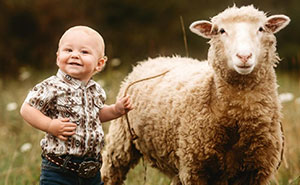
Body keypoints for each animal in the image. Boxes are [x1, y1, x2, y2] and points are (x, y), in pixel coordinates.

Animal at [101, 5, 290, 184]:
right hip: (121, 141)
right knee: (111, 172)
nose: (244, 56)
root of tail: (152, 60)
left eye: (261, 29)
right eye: (221, 30)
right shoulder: (195, 169)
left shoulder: (257, 171)